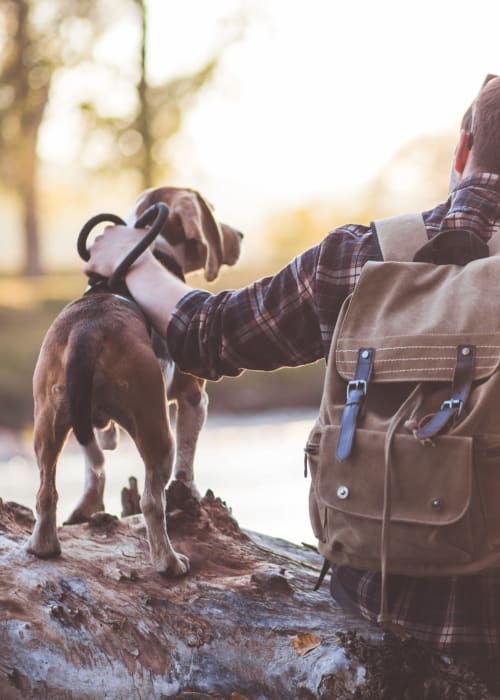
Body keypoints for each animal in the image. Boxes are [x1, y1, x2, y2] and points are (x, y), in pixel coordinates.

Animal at [25, 186, 244, 576]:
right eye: (214, 211)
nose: (241, 236)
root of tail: (87, 329)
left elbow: (94, 463)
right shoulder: (194, 399)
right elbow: (187, 462)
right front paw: (189, 491)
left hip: (48, 426)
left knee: (46, 492)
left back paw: (44, 545)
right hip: (157, 433)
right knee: (151, 502)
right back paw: (169, 562)